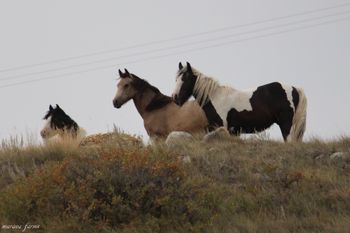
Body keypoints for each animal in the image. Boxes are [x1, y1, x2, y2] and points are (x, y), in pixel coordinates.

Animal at [172, 62, 306, 142]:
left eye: (186, 78)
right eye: (176, 79)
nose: (175, 97)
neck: (216, 98)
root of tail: (295, 89)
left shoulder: (222, 127)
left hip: (286, 125)